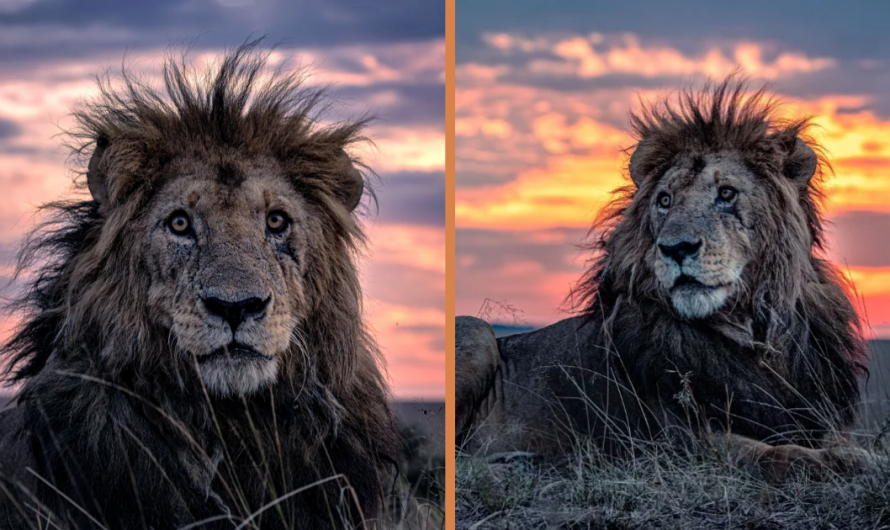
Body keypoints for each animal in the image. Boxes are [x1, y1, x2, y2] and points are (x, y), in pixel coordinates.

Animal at [454, 77, 872, 478]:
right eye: (665, 200)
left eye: (726, 193)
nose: (675, 248)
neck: (755, 335)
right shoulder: (682, 444)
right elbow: (779, 455)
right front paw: (848, 461)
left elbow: (826, 441)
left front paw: (852, 454)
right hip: (476, 330)